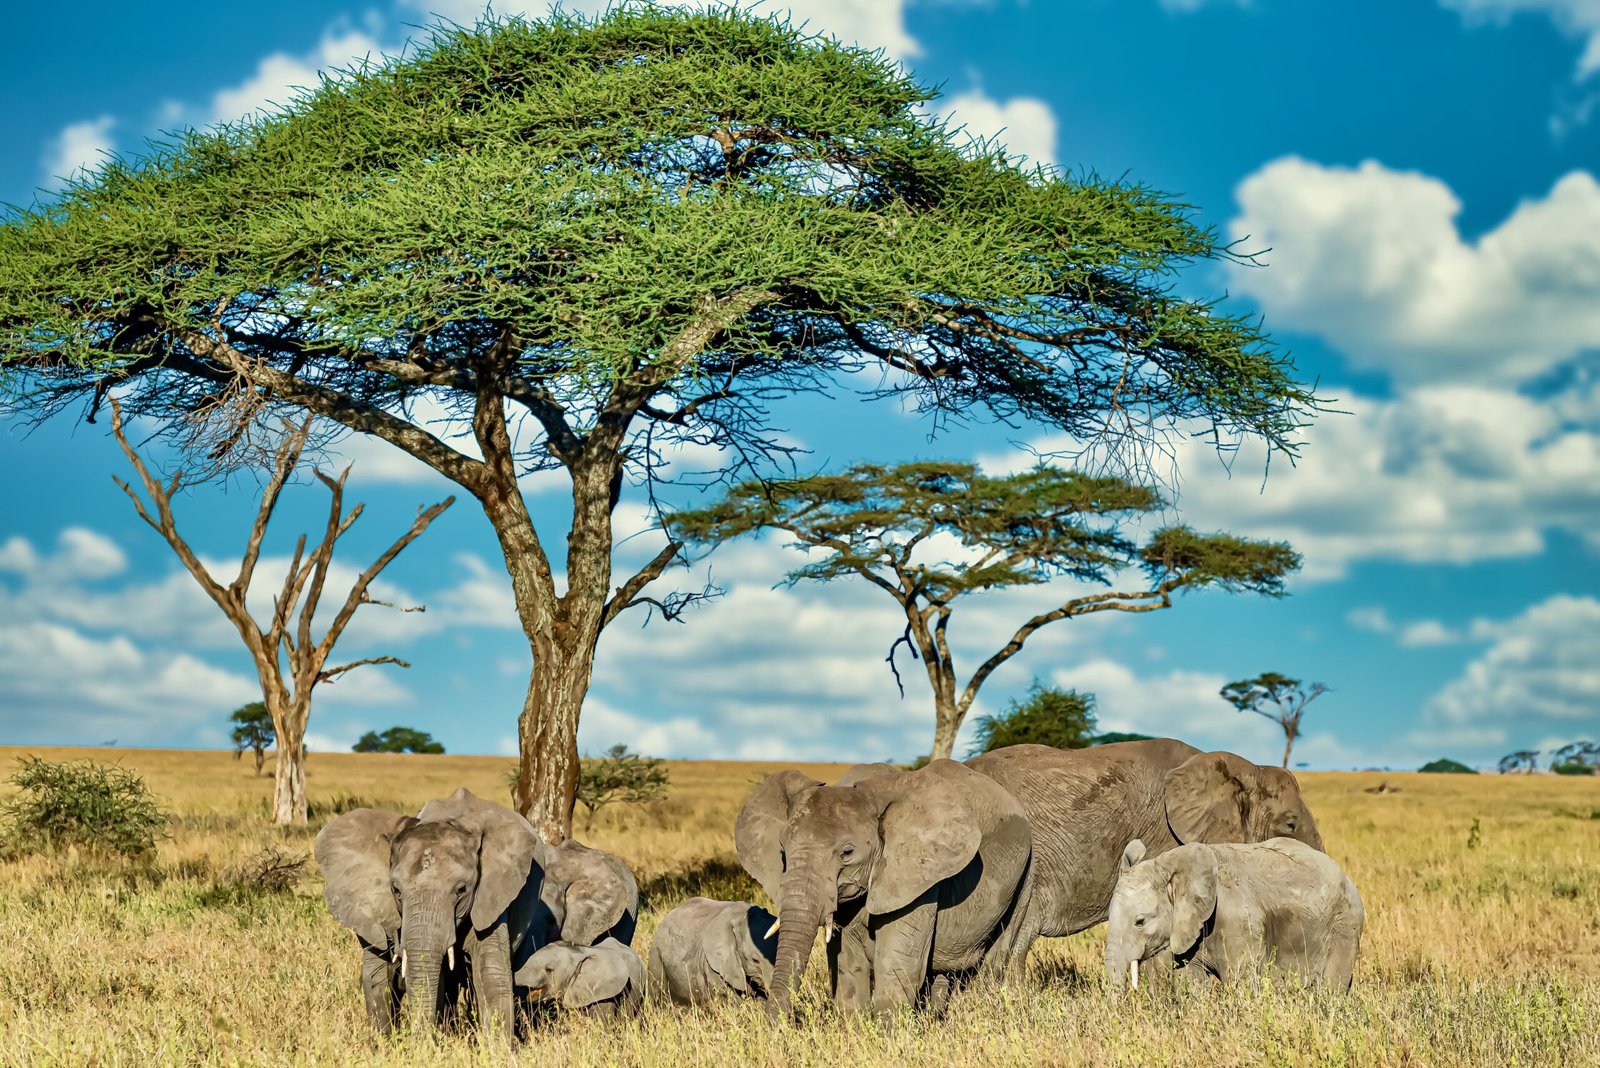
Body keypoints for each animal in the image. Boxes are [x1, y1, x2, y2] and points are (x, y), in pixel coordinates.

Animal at [735, 758, 1032, 1020]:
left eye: (847, 853)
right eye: (783, 852)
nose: (777, 1026)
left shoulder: (917, 876)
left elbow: (897, 963)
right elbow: (848, 965)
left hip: (1026, 871)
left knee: (999, 955)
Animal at [1106, 837, 1364, 991]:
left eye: (1140, 922)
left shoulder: (1238, 921)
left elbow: (1239, 980)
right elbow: (1189, 980)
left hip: (1345, 926)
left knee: (1331, 988)